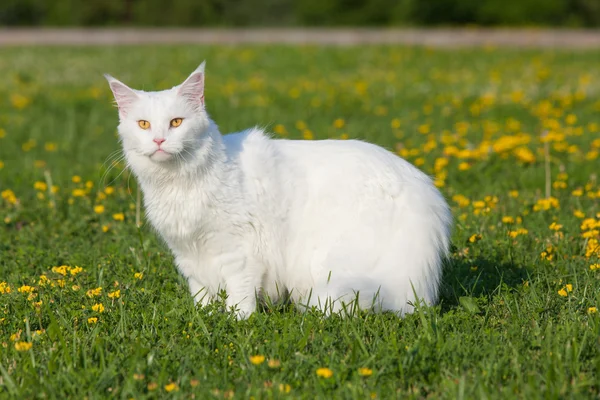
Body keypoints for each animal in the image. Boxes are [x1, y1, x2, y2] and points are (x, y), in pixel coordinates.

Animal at [104, 62, 450, 318]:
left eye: (176, 122)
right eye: (144, 125)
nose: (159, 140)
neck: (178, 183)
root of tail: (423, 192)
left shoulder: (239, 249)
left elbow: (239, 293)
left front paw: (236, 320)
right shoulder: (190, 255)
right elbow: (201, 293)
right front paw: (204, 317)